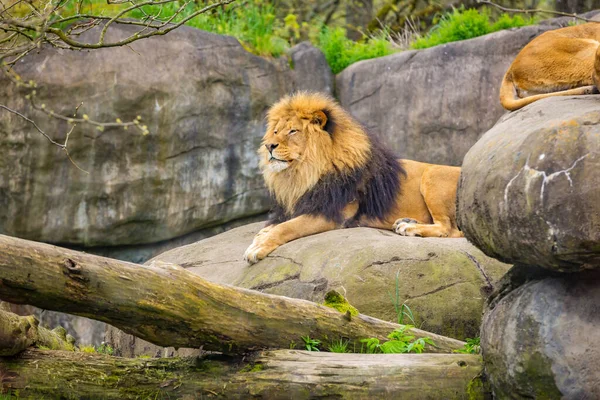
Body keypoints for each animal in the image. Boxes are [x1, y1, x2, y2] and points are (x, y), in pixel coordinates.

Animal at [241, 92, 462, 264]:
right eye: (275, 131)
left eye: (293, 131)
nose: (268, 146)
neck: (303, 174)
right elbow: (272, 226)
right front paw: (259, 238)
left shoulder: (331, 213)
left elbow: (286, 227)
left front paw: (257, 247)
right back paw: (407, 222)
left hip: (433, 176)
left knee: (448, 229)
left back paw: (410, 228)